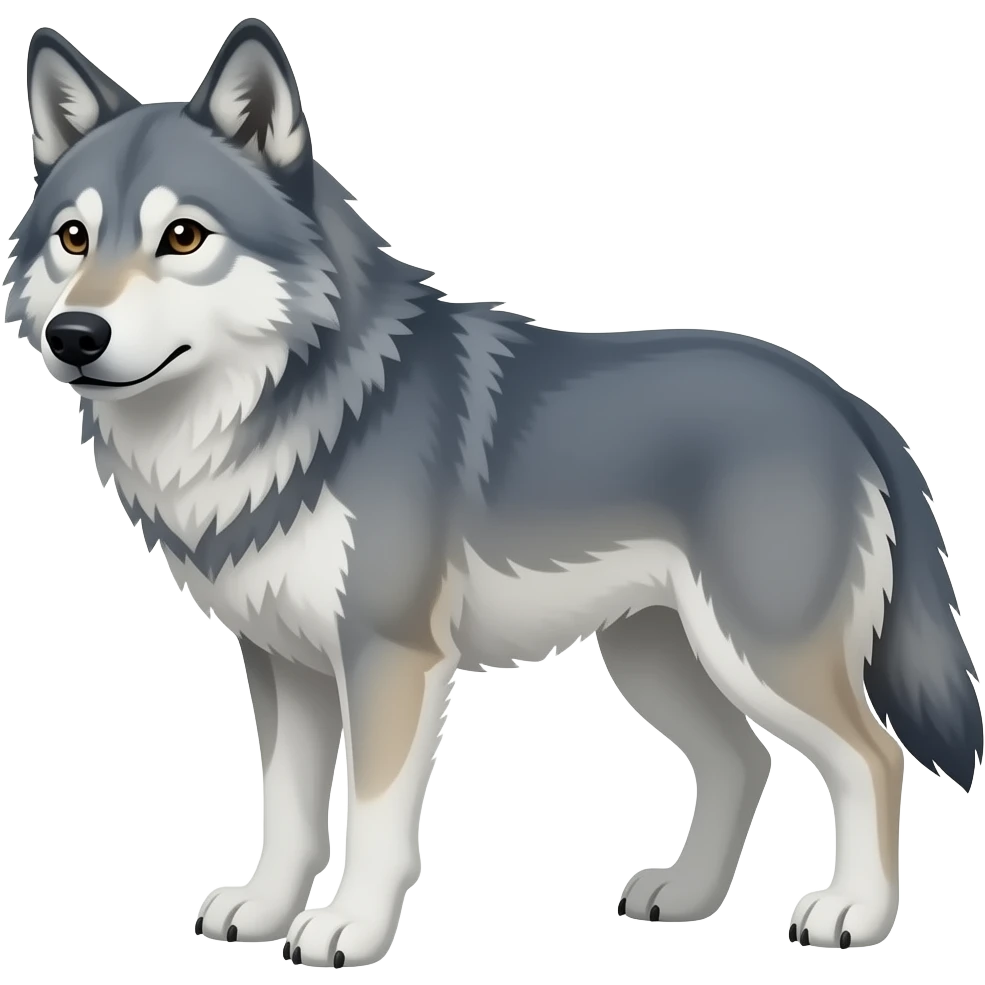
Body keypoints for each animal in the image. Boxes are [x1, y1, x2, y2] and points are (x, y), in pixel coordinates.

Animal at [4, 18, 981, 966]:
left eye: (183, 237)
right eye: (74, 238)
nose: (75, 335)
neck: (290, 411)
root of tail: (844, 399)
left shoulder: (389, 657)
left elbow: (374, 815)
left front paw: (349, 928)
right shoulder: (282, 663)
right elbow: (286, 810)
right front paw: (266, 909)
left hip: (757, 655)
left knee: (870, 758)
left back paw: (853, 913)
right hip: (656, 657)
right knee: (743, 761)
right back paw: (685, 897)